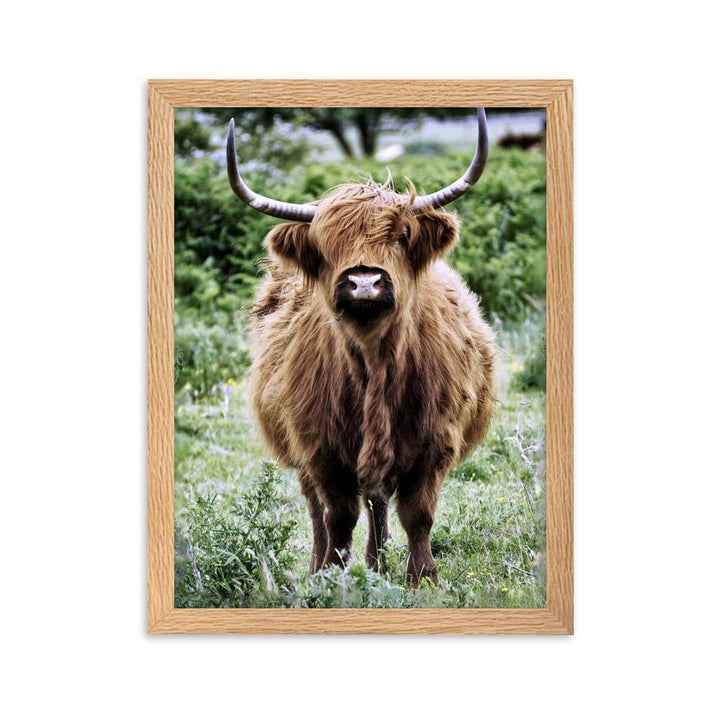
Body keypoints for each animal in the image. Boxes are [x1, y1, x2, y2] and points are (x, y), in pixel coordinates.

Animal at [226, 109, 497, 587]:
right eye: (325, 244)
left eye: (402, 236)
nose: (365, 282)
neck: (375, 364)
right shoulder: (319, 448)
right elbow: (337, 515)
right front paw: (332, 576)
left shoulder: (436, 443)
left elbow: (417, 514)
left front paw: (421, 578)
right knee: (321, 508)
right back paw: (328, 566)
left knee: (378, 500)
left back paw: (378, 563)